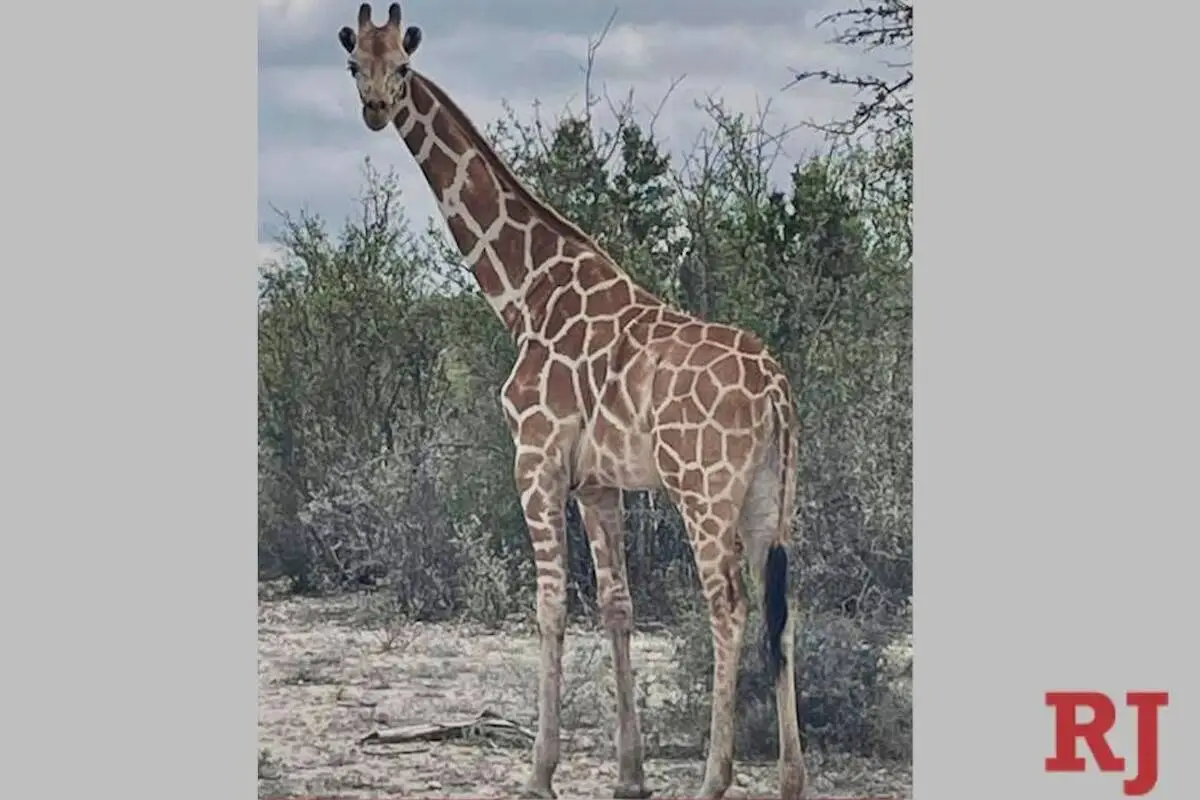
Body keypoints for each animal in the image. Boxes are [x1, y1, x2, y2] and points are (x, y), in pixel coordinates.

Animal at [337, 5, 807, 799]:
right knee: (783, 608)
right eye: (353, 64)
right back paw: (791, 780)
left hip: (704, 491)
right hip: (772, 496)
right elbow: (618, 607)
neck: (524, 294)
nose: (374, 108)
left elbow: (551, 603)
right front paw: (629, 777)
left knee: (730, 606)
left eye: (402, 64)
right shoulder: (598, 483)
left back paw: (714, 780)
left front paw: (539, 773)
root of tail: (776, 389)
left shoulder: (536, 458)